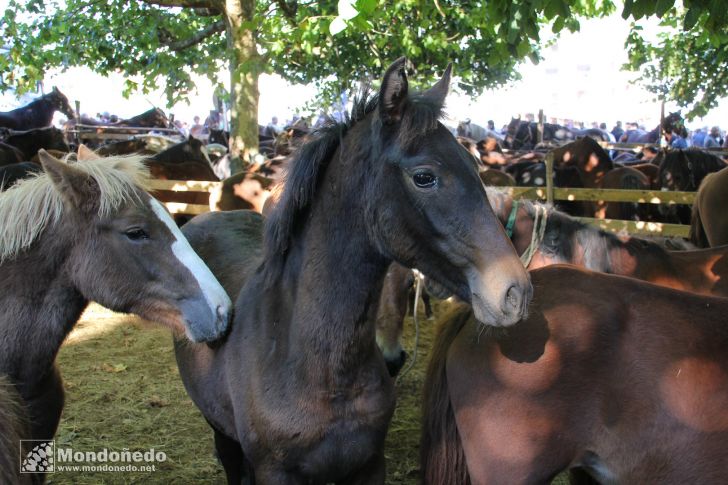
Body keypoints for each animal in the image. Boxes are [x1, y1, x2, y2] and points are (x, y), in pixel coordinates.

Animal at [173, 58, 532, 482]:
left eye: (476, 169)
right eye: (424, 177)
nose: (515, 292)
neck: (324, 372)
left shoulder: (369, 464)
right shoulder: (274, 472)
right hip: (221, 433)